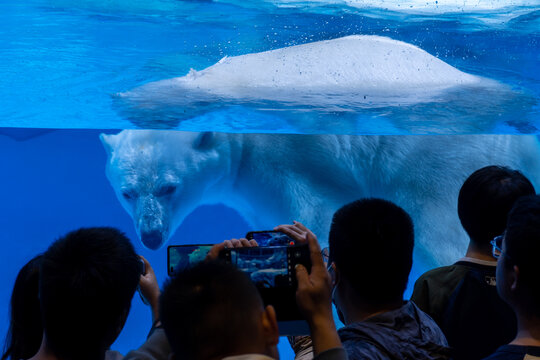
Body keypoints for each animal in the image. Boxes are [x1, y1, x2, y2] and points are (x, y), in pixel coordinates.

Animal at [100, 131, 540, 266]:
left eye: (168, 187)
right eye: (127, 192)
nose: (151, 236)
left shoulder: (285, 161)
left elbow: (314, 209)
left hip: (436, 165)